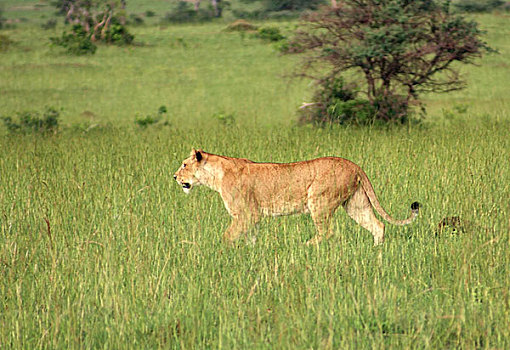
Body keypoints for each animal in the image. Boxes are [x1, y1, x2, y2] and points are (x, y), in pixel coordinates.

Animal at [173, 149, 420, 245]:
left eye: (184, 164)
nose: (174, 176)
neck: (216, 175)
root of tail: (353, 164)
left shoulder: (247, 214)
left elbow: (227, 236)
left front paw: (222, 251)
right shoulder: (252, 218)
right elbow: (250, 239)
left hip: (318, 200)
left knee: (327, 232)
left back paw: (306, 246)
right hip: (355, 203)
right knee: (378, 225)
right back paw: (377, 252)